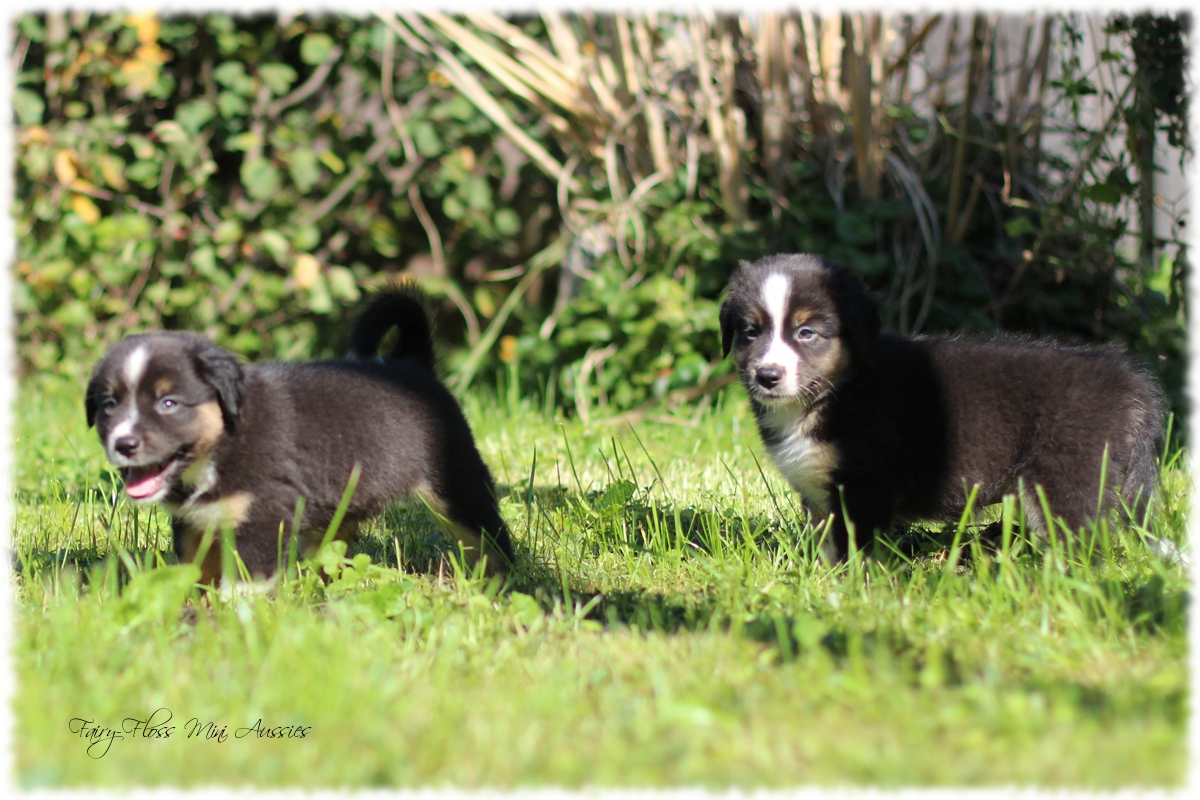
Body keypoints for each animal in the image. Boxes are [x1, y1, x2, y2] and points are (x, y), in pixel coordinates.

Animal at [84, 291, 516, 585]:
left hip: (455, 485)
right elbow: (196, 572)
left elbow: (245, 584)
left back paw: (498, 584)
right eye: (109, 405)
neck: (223, 443)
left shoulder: (264, 517)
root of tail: (413, 364)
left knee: (489, 538)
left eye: (169, 403)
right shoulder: (195, 524)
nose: (124, 445)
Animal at [715, 253, 1166, 561]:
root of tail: (1128, 380)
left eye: (806, 332)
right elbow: (825, 545)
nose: (767, 375)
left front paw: (851, 590)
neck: (838, 388)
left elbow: (855, 549)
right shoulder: (820, 495)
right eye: (750, 331)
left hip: (1065, 478)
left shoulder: (866, 485)